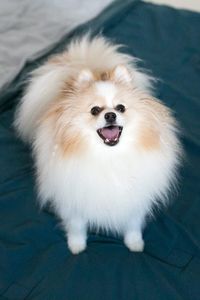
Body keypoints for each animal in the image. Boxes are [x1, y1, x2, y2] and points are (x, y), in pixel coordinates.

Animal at [14, 35, 182, 255]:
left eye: (121, 108)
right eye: (95, 110)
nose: (110, 115)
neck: (109, 157)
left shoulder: (134, 198)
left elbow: (133, 225)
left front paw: (135, 243)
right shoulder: (74, 198)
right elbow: (77, 226)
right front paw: (76, 245)